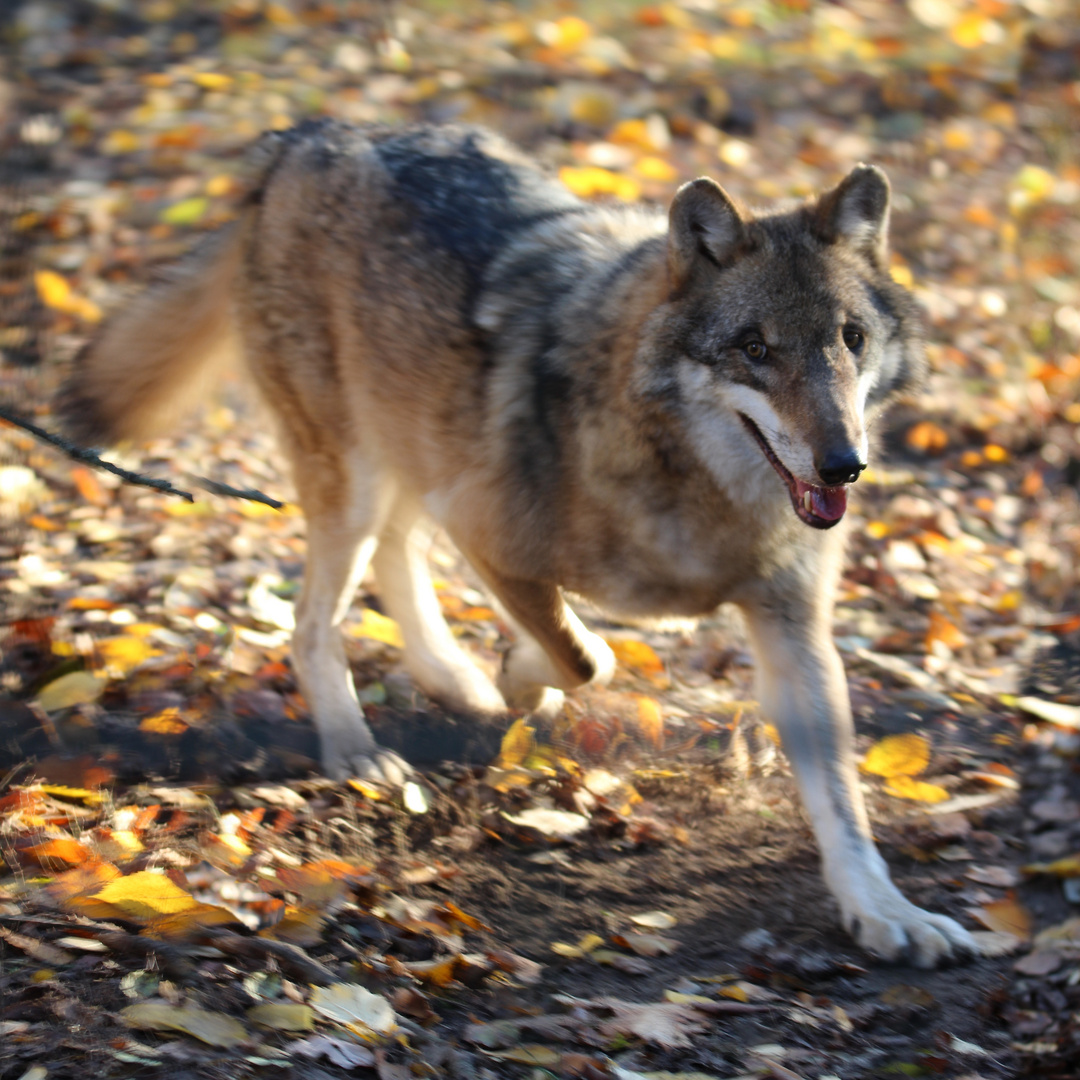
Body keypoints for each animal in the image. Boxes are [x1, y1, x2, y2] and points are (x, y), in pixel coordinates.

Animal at [59, 122, 980, 967]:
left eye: (850, 339)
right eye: (755, 348)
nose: (844, 464)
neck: (695, 488)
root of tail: (312, 136)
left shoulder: (792, 625)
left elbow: (843, 804)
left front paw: (884, 912)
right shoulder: (488, 534)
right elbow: (584, 656)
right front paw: (517, 678)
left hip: (409, 458)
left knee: (396, 554)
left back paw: (450, 678)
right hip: (357, 481)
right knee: (314, 621)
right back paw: (360, 748)